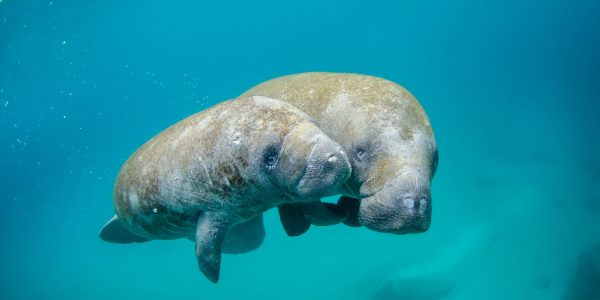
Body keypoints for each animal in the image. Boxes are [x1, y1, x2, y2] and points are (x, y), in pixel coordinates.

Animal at [98, 95, 352, 282]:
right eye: (270, 156)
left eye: (315, 123)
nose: (333, 157)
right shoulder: (213, 206)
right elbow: (207, 245)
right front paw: (211, 276)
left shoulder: (291, 189)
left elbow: (315, 210)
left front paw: (339, 212)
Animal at [241, 72, 438, 234]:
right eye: (360, 153)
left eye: (436, 161)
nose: (416, 203)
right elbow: (309, 205)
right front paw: (339, 213)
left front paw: (348, 212)